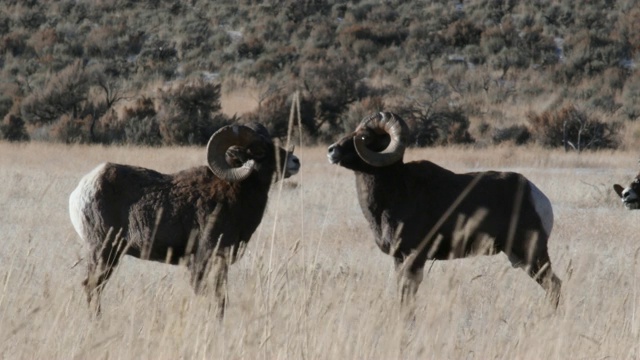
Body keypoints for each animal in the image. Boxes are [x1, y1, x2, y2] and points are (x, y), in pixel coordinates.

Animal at [70, 124, 300, 318]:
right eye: (260, 151)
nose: (295, 162)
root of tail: (81, 190)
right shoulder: (202, 260)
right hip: (103, 252)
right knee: (92, 286)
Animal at [328, 112, 564, 310]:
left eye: (365, 136)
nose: (331, 151)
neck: (395, 192)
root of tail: (537, 196)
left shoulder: (414, 257)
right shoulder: (399, 259)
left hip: (532, 254)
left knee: (554, 285)